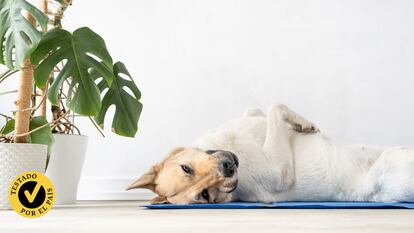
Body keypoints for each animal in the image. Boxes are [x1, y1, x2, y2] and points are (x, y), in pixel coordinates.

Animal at [126, 104, 414, 204]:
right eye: (205, 195)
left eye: (186, 168)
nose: (229, 166)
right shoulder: (280, 171)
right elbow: (277, 107)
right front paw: (304, 124)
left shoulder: (250, 117)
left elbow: (262, 111)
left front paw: (300, 124)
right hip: (396, 158)